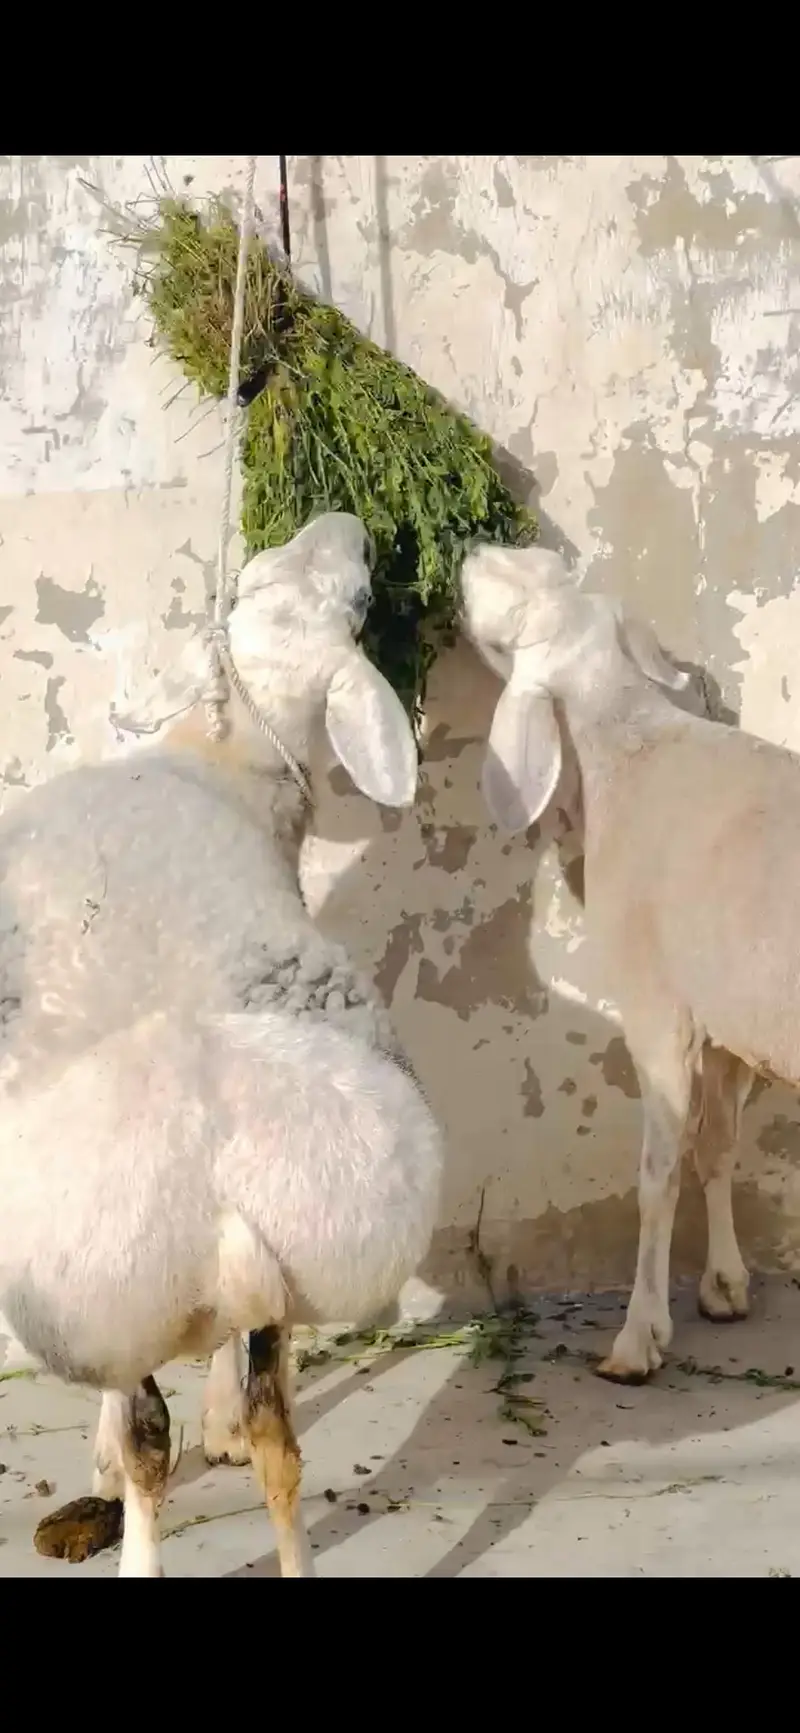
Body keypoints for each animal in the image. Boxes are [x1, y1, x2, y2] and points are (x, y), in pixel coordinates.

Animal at [0, 512, 443, 1576]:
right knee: (280, 1435)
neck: (223, 753)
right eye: (259, 579)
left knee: (149, 1428)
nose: (348, 525)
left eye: (354, 597)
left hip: (105, 1272)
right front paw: (216, 1427)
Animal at [460, 540, 800, 1386]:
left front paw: (638, 1336)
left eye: (510, 623)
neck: (630, 742)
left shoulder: (657, 1011)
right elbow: (716, 1147)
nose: (472, 551)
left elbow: (658, 1172)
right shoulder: (725, 1017)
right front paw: (724, 1286)